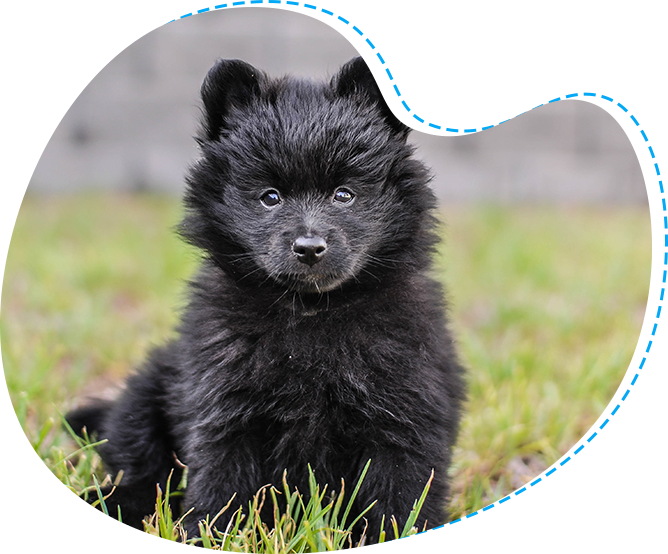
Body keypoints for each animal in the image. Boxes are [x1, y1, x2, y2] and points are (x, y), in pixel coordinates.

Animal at [66, 57, 464, 544]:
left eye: (344, 194)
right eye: (269, 197)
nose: (309, 247)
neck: (311, 312)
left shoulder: (406, 415)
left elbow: (401, 496)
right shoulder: (224, 408)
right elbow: (221, 482)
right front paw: (212, 534)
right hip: (148, 390)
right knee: (141, 466)